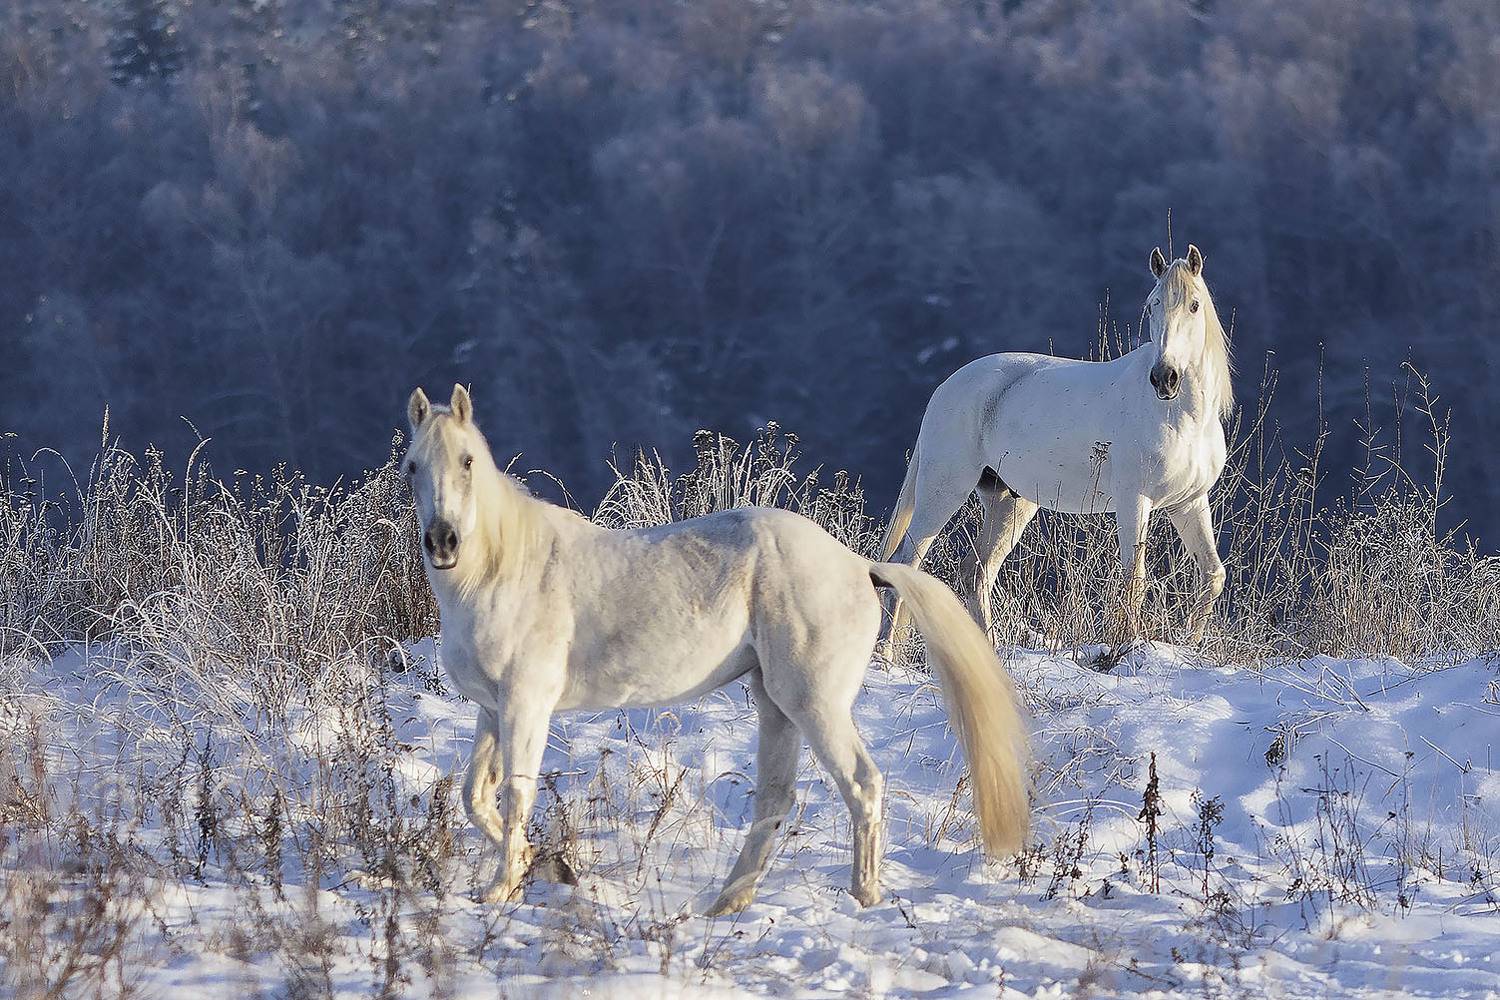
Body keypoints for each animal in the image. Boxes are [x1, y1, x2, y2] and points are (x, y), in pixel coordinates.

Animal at [402, 384, 1030, 914]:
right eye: (413, 466)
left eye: (468, 461)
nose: (443, 542)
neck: (505, 570)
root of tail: (861, 567)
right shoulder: (493, 709)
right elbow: (476, 796)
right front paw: (546, 865)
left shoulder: (526, 703)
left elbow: (515, 794)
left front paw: (502, 887)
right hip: (777, 707)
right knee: (775, 799)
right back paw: (728, 903)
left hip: (814, 704)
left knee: (861, 784)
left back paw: (864, 897)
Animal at [880, 245, 1232, 653]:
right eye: (1152, 306)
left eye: (1194, 304)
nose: (1165, 378)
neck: (1179, 417)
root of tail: (945, 389)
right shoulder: (1134, 500)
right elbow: (1135, 579)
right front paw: (1127, 647)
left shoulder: (1188, 502)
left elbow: (1212, 574)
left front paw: (1191, 642)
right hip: (944, 491)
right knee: (907, 562)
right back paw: (885, 654)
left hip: (1009, 502)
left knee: (977, 571)